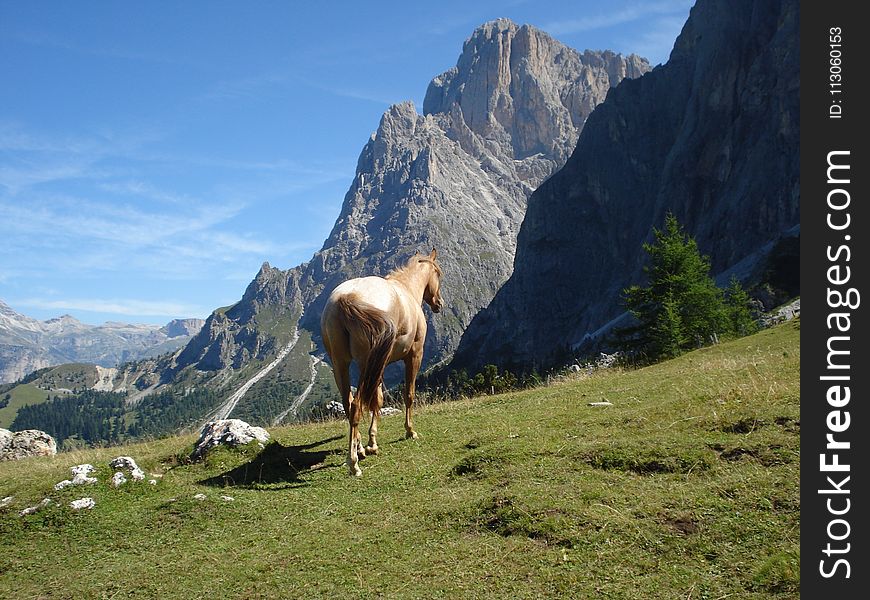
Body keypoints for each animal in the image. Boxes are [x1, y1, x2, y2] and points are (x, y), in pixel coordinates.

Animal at [320, 246, 442, 476]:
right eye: (438, 274)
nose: (439, 303)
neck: (406, 290)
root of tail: (345, 298)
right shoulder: (414, 354)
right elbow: (408, 394)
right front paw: (409, 431)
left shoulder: (379, 365)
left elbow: (377, 400)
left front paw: (370, 443)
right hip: (365, 363)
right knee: (357, 404)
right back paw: (354, 463)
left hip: (341, 364)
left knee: (349, 404)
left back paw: (358, 449)